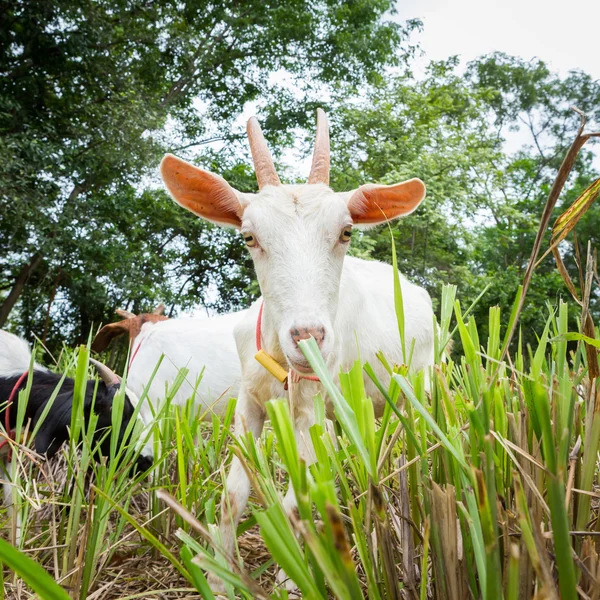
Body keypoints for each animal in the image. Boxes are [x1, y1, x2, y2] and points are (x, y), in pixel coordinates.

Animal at [157, 109, 434, 584]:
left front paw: (290, 580)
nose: (308, 337)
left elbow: (295, 504)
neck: (279, 362)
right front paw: (219, 575)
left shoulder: (310, 411)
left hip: (422, 385)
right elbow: (233, 494)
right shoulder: (249, 402)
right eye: (248, 237)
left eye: (346, 232)